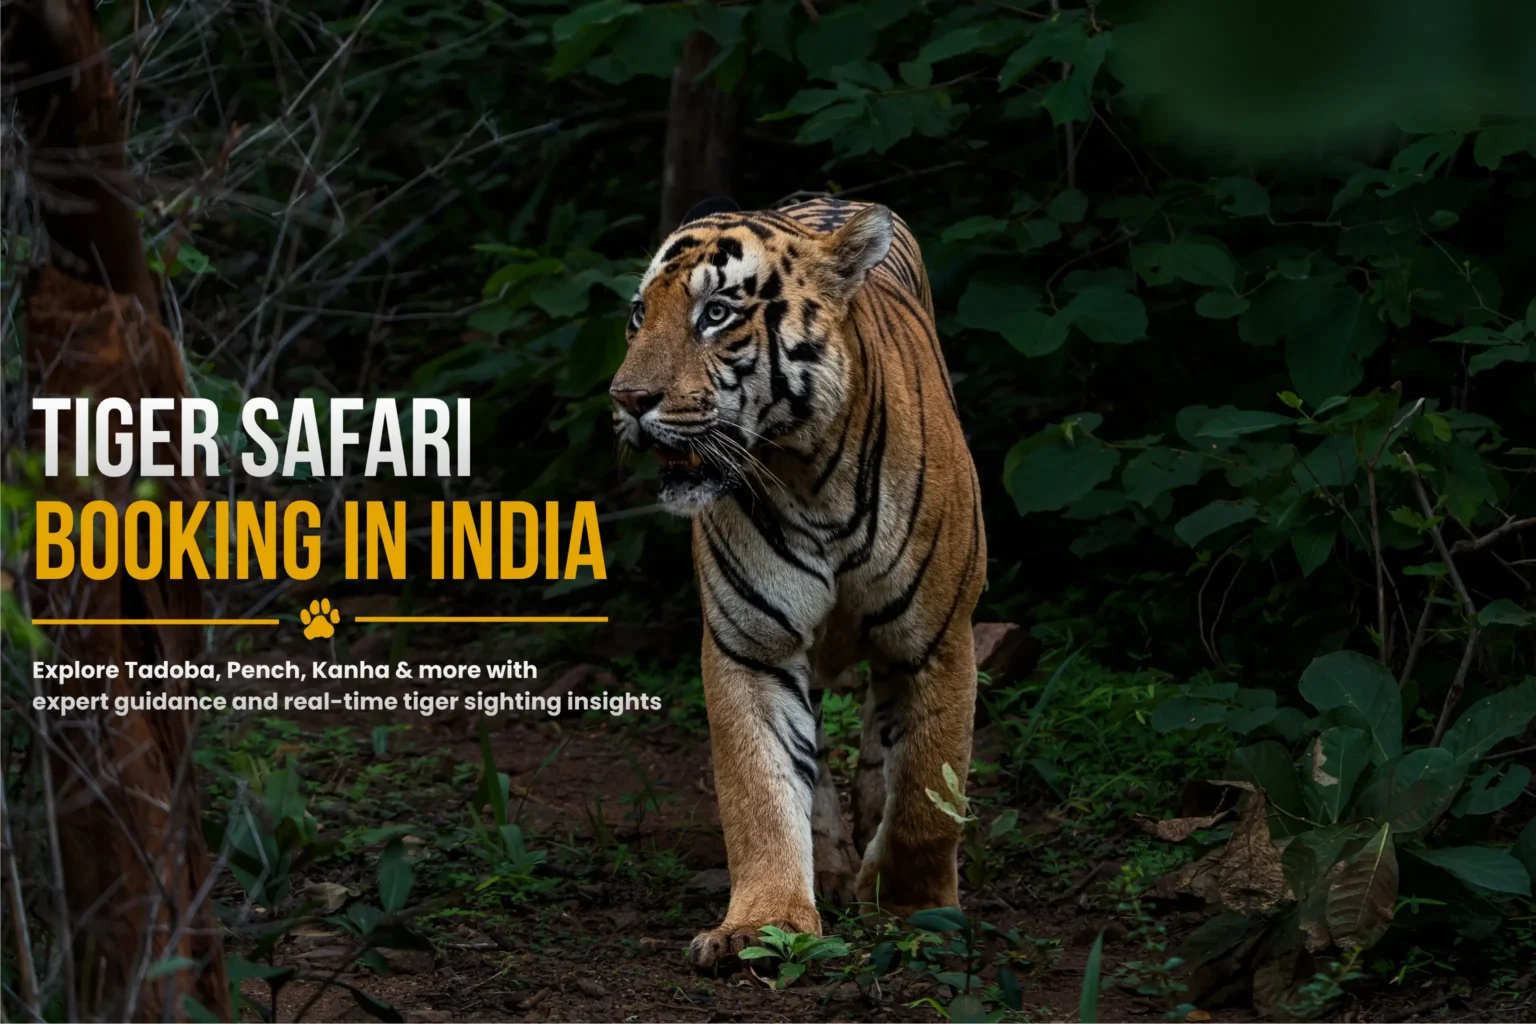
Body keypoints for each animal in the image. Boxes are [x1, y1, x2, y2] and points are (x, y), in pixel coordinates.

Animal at [610, 196, 986, 971]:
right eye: (638, 313)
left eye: (716, 313)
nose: (627, 398)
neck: (810, 473)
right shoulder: (752, 645)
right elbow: (759, 788)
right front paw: (765, 924)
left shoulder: (938, 640)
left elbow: (925, 794)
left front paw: (914, 912)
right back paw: (832, 869)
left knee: (882, 748)